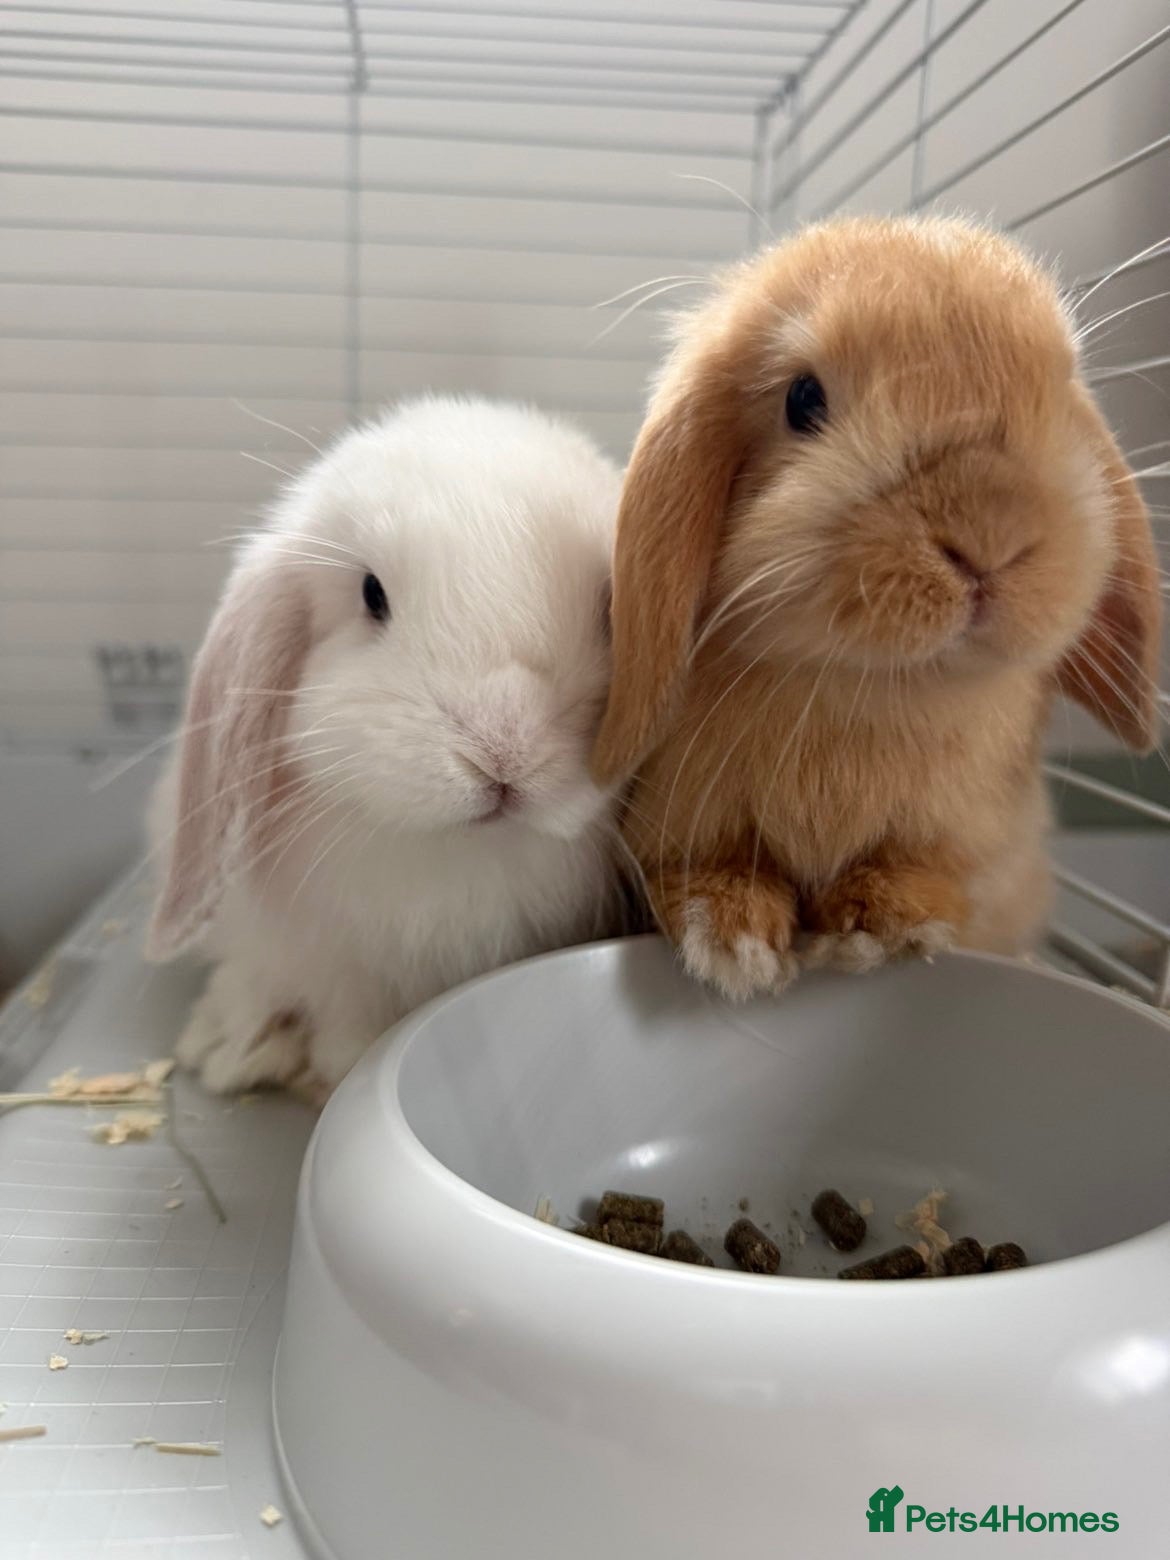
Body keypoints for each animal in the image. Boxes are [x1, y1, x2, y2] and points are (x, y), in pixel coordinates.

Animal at [592, 215, 1162, 1001]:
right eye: (803, 400)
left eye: (1058, 391)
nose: (989, 532)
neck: (879, 690)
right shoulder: (682, 828)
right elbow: (707, 871)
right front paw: (736, 943)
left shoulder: (967, 840)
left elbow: (923, 871)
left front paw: (881, 926)